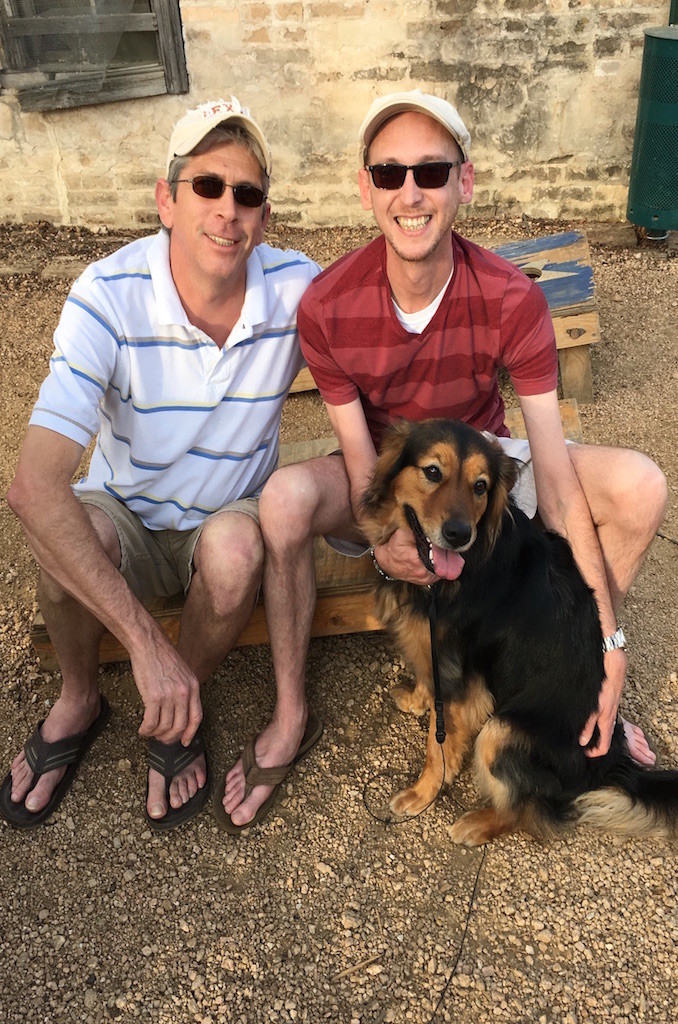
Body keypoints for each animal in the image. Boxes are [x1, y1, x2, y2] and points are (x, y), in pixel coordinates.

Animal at [360, 417, 678, 847]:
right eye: (432, 472)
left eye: (480, 486)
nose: (459, 534)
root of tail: (607, 765)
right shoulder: (435, 646)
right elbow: (429, 678)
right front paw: (418, 699)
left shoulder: (465, 681)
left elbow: (438, 744)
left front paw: (422, 793)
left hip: (501, 730)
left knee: (527, 811)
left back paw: (478, 823)